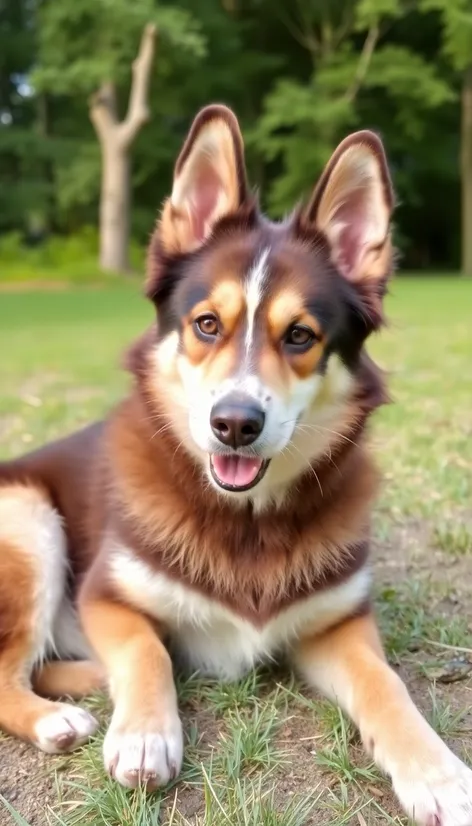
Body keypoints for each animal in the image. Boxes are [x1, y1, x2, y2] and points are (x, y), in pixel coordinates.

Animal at [0, 106, 472, 820]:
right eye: (206, 324)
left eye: (300, 335)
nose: (235, 425)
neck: (244, 519)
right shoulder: (106, 593)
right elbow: (144, 648)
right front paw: (145, 733)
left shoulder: (339, 625)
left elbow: (387, 684)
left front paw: (438, 773)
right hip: (28, 519)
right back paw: (59, 714)